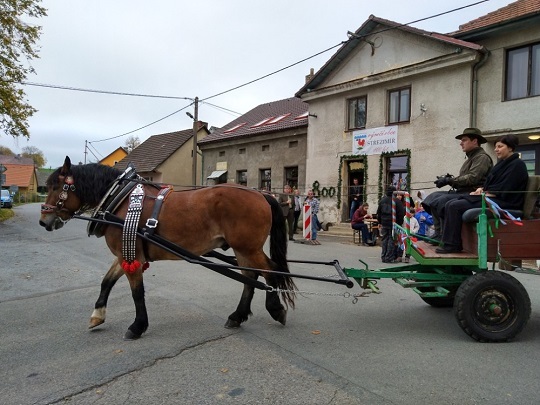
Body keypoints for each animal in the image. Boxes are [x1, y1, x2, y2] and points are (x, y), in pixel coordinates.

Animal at [40, 156, 298, 340]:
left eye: (57, 187)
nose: (44, 221)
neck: (120, 200)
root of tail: (261, 194)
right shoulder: (126, 252)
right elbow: (107, 281)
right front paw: (97, 315)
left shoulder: (129, 254)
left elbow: (137, 292)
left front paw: (138, 326)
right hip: (242, 249)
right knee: (250, 276)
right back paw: (237, 316)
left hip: (248, 247)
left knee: (269, 271)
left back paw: (275, 308)